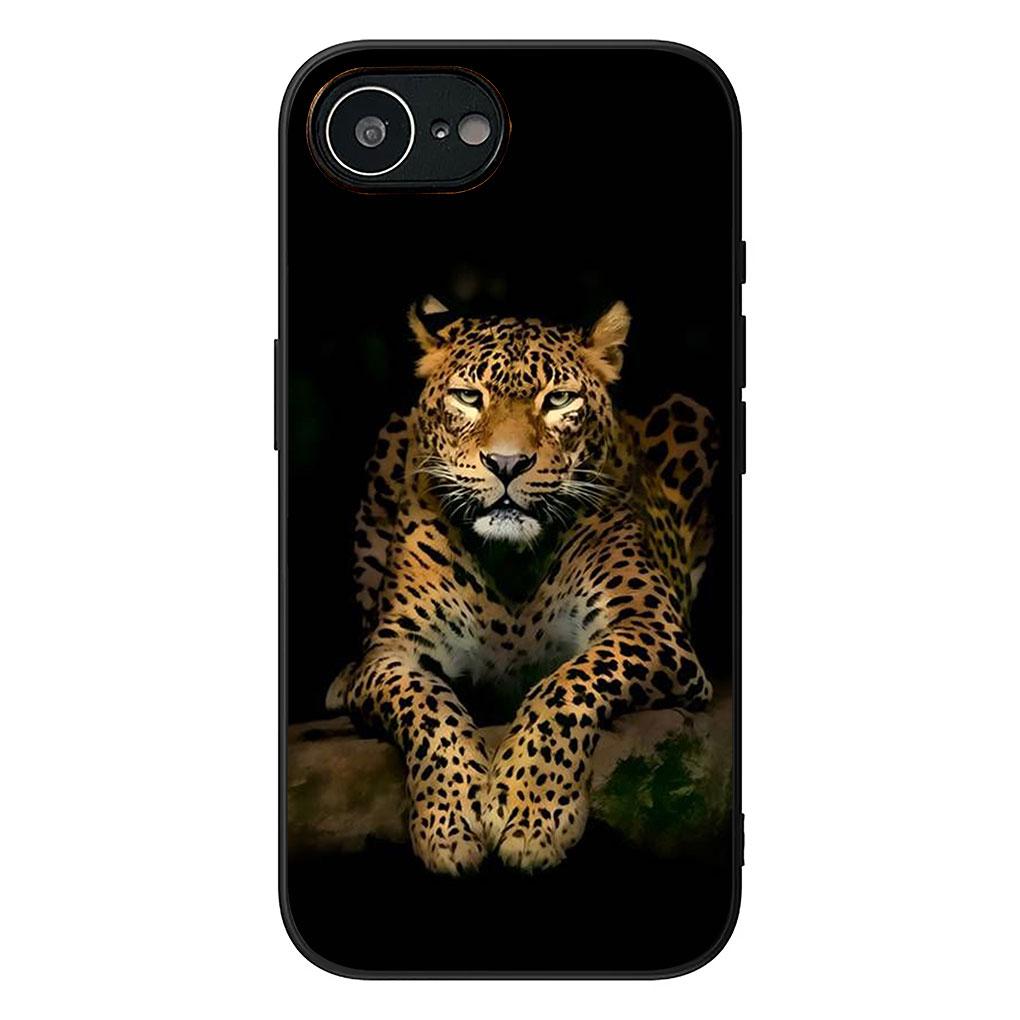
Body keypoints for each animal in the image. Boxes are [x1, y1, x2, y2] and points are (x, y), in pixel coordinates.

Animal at [326, 296, 718, 875]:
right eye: (470, 397)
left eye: (558, 400)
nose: (507, 464)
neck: (511, 561)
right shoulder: (395, 652)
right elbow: (428, 707)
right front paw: (450, 822)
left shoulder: (651, 627)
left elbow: (566, 685)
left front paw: (531, 815)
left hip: (691, 413)